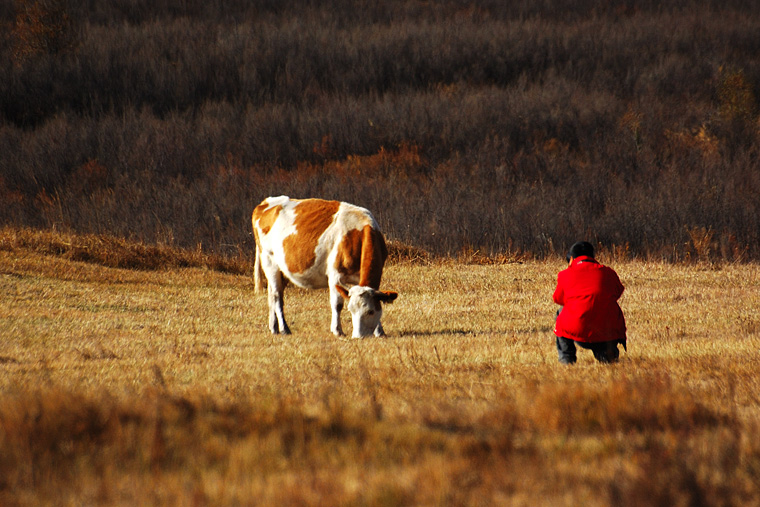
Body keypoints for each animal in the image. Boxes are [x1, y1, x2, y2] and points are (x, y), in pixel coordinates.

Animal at [254, 196, 400, 340]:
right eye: (351, 310)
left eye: (370, 311)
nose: (358, 337)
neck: (358, 232)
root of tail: (265, 202)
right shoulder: (335, 274)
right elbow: (337, 304)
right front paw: (337, 331)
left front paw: (380, 332)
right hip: (269, 261)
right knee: (276, 296)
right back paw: (284, 329)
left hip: (281, 271)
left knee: (272, 294)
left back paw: (274, 328)